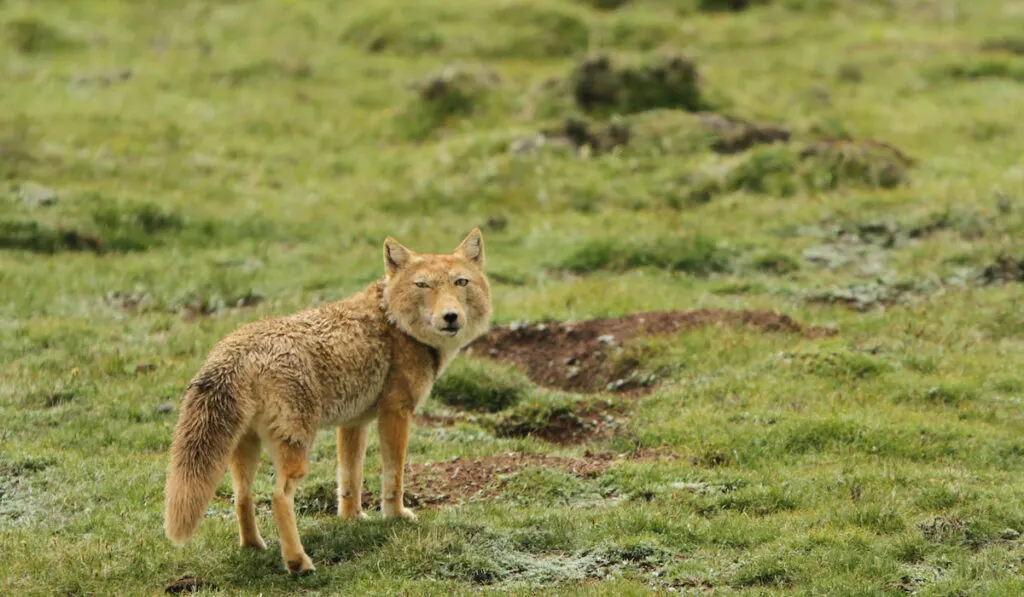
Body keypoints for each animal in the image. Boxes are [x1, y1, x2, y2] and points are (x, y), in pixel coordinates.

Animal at [163, 229, 491, 573]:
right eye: (423, 285)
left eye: (461, 282)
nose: (451, 317)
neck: (393, 320)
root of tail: (236, 348)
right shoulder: (396, 413)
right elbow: (394, 476)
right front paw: (396, 516)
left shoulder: (354, 422)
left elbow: (350, 479)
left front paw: (352, 519)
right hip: (296, 451)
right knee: (278, 497)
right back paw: (298, 562)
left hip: (245, 451)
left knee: (242, 497)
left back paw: (254, 546)